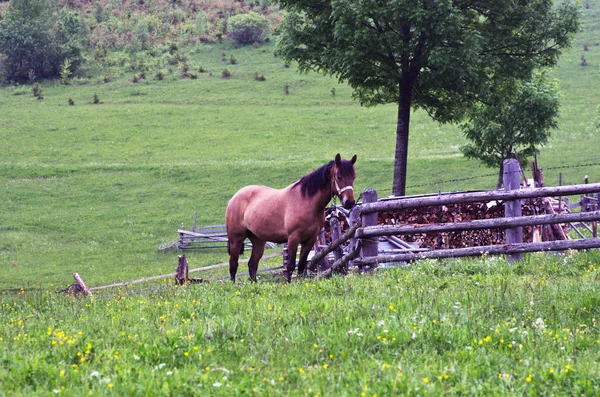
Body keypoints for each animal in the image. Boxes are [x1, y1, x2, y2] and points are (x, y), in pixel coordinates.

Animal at [225, 152, 356, 282]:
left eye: (353, 177)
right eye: (339, 177)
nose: (349, 202)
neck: (306, 201)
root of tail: (234, 197)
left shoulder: (310, 240)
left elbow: (302, 265)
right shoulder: (293, 238)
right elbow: (290, 265)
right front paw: (289, 283)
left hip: (258, 240)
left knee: (252, 264)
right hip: (236, 239)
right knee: (233, 264)